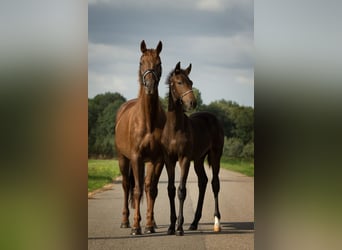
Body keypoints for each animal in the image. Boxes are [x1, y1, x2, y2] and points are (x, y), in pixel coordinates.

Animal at [115, 40, 166, 234]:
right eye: (141, 62)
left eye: (159, 63)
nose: (150, 86)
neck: (148, 121)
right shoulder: (136, 157)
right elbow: (136, 190)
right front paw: (136, 227)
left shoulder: (157, 159)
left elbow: (151, 190)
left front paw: (149, 225)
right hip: (123, 159)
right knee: (126, 186)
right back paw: (125, 221)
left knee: (146, 186)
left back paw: (152, 222)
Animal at [162, 61, 226, 235]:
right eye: (179, 82)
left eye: (191, 82)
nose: (192, 103)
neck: (175, 128)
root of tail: (213, 118)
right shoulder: (169, 160)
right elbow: (171, 189)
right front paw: (171, 227)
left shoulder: (184, 159)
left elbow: (181, 190)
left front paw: (179, 227)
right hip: (198, 159)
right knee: (202, 182)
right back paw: (194, 222)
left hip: (215, 155)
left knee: (215, 184)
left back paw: (216, 222)